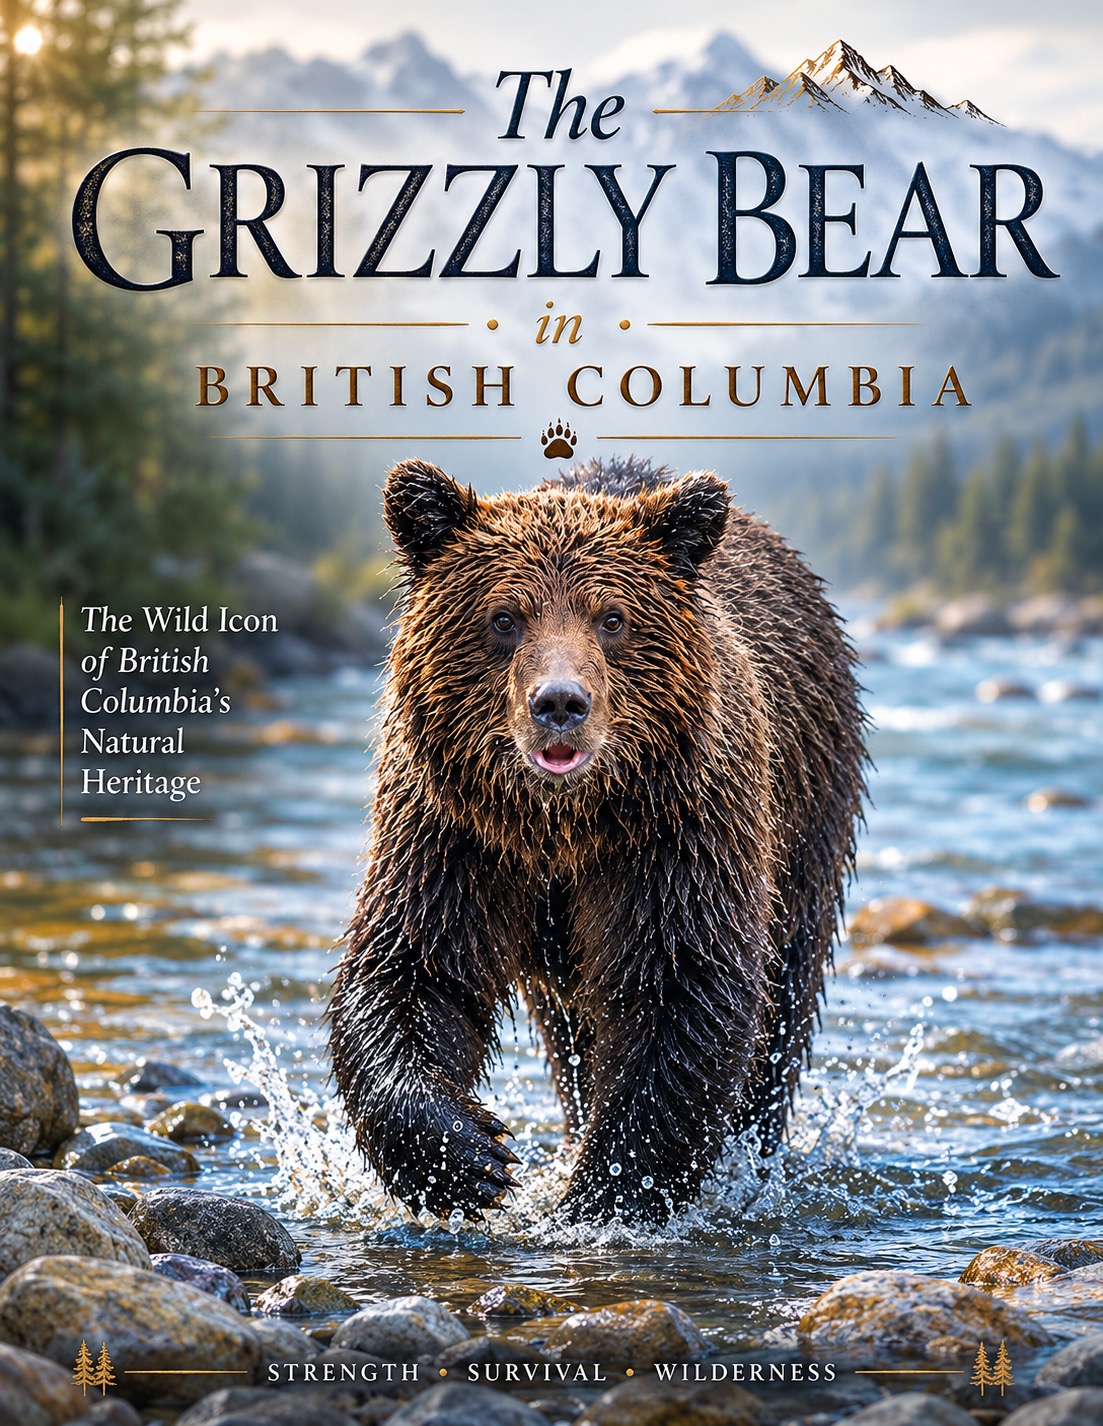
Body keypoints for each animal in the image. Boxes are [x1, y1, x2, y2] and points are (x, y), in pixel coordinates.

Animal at [329, 455, 866, 1226]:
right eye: (503, 617)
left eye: (612, 618)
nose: (559, 703)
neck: (563, 827)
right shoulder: (453, 833)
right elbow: (414, 969)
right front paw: (469, 1160)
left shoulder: (675, 837)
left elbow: (680, 990)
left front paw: (603, 1193)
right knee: (572, 1040)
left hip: (806, 815)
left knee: (783, 1004)